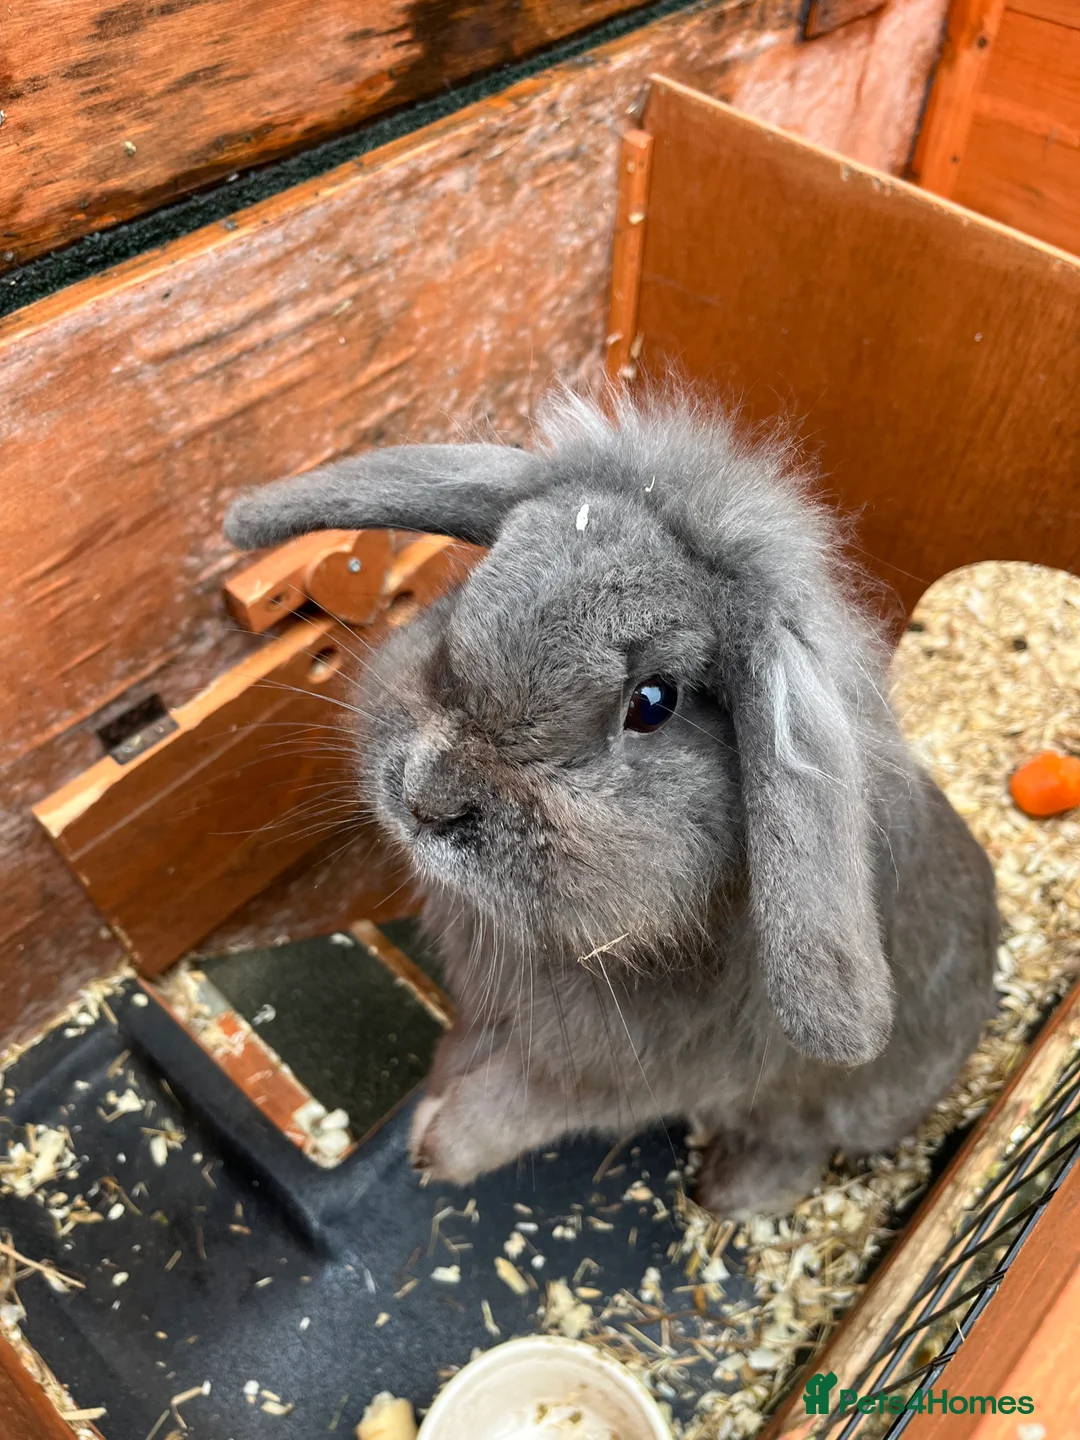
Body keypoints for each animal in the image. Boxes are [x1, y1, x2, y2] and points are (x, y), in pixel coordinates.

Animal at [224, 390, 999, 1215]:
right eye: (463, 601)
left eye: (653, 703)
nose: (427, 800)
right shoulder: (491, 1012)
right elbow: (463, 1055)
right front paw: (430, 1103)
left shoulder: (607, 1074)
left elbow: (510, 1107)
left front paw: (436, 1151)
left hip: (829, 1106)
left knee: (797, 1142)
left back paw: (731, 1196)